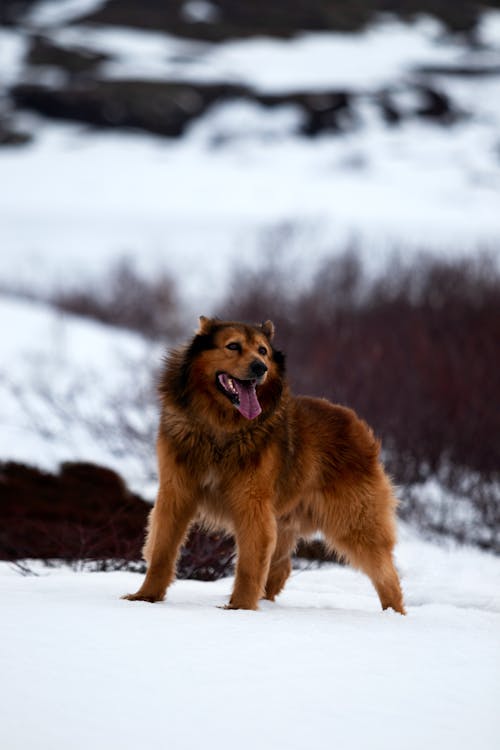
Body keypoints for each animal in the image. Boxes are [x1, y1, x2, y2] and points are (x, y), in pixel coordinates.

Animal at [125, 318, 406, 616]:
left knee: (387, 575)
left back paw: (394, 615)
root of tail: (357, 424)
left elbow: (249, 565)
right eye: (233, 346)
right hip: (286, 522)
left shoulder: (252, 504)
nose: (261, 367)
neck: (220, 430)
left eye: (263, 351)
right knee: (282, 568)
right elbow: (162, 551)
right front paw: (146, 597)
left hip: (354, 521)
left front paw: (241, 608)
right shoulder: (176, 492)